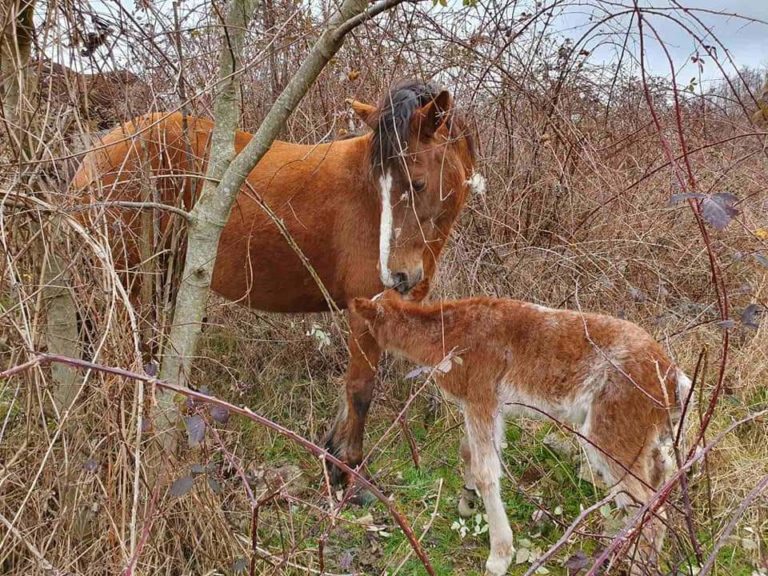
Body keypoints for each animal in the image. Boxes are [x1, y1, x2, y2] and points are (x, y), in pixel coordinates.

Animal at [72, 79, 480, 484]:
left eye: (417, 183)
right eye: (381, 185)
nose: (395, 274)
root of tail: (100, 150)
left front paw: (333, 456)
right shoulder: (365, 312)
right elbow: (360, 390)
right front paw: (346, 472)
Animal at [348, 294, 688, 572]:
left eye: (360, 326)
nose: (355, 355)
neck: (446, 339)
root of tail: (675, 380)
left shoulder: (481, 394)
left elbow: (486, 471)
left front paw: (499, 556)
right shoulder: (489, 405)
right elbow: (468, 451)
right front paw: (467, 502)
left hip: (613, 429)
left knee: (650, 507)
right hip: (643, 432)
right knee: (661, 469)